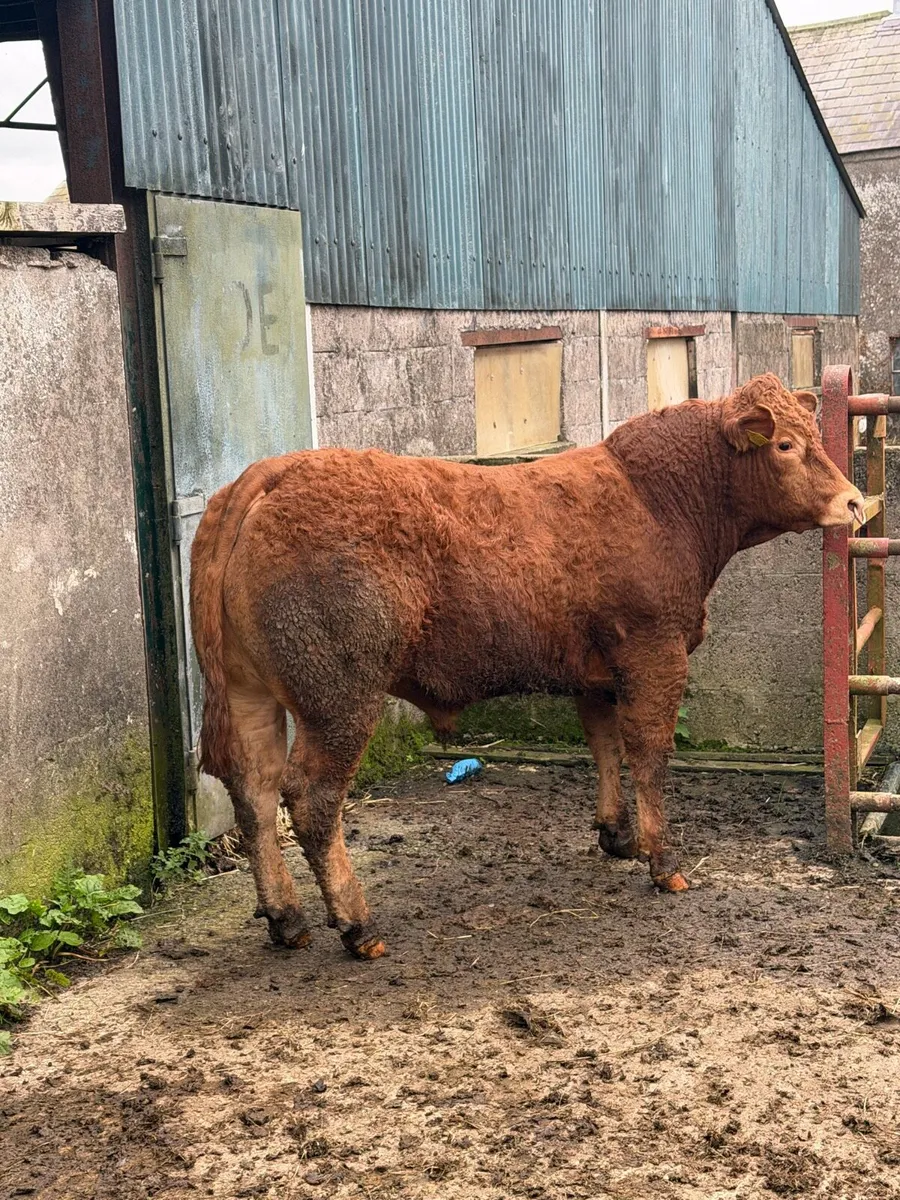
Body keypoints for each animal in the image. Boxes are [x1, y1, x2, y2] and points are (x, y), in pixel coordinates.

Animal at [190, 373, 864, 959]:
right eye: (785, 444)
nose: (856, 501)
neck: (658, 503)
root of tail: (274, 472)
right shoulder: (655, 651)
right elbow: (648, 752)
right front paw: (663, 861)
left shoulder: (595, 670)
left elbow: (603, 745)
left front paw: (617, 835)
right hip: (340, 695)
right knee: (311, 798)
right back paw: (358, 926)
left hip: (251, 693)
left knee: (253, 791)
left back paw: (286, 918)